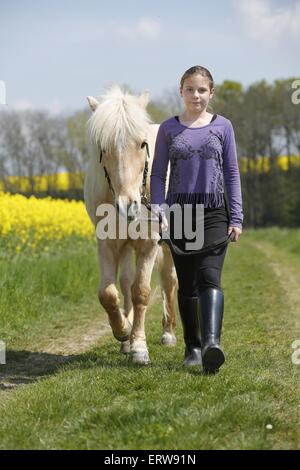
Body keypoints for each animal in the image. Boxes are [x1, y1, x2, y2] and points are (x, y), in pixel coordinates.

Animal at [84, 85, 178, 364]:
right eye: (103, 147)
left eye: (143, 144)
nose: (129, 205)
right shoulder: (107, 243)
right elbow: (109, 293)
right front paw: (123, 331)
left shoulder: (150, 243)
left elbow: (142, 292)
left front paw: (138, 348)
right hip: (125, 245)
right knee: (125, 282)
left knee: (169, 280)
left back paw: (168, 333)